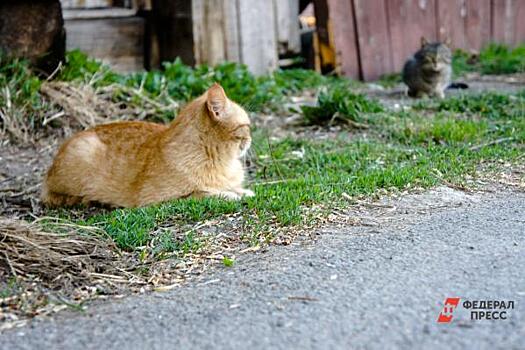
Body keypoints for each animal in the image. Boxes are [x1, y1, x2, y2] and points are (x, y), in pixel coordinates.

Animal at [41, 82, 254, 208]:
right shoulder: (159, 201)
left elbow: (236, 189)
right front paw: (230, 195)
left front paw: (243, 192)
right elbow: (205, 193)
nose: (251, 138)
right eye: (246, 126)